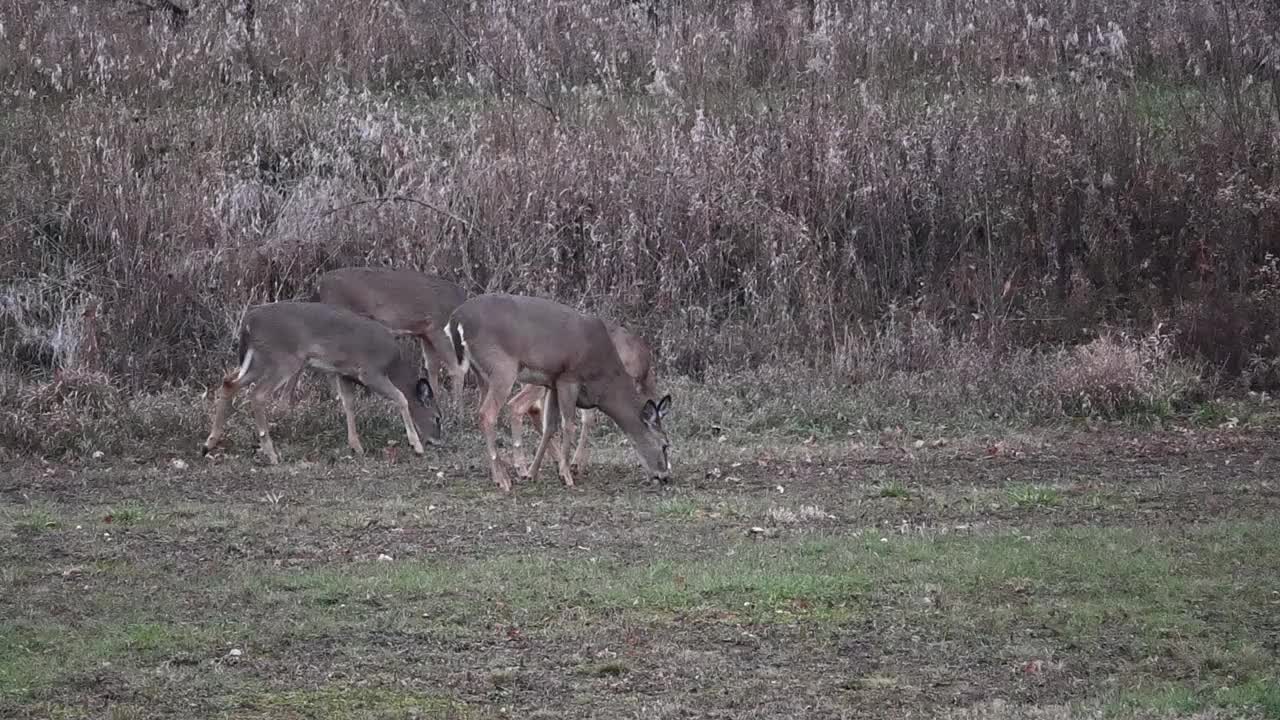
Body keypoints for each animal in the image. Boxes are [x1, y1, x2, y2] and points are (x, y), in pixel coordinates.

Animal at [197, 298, 442, 461]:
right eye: (437, 418)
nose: (438, 441)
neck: (393, 364)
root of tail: (248, 321)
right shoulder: (370, 371)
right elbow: (401, 397)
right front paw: (416, 445)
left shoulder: (344, 373)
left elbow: (348, 404)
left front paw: (356, 446)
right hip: (283, 359)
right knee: (258, 395)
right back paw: (271, 454)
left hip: (258, 360)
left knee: (229, 382)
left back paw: (208, 444)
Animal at [285, 266, 471, 412]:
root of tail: (319, 286)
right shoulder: (437, 327)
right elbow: (454, 368)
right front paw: (456, 412)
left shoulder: (425, 332)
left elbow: (432, 367)